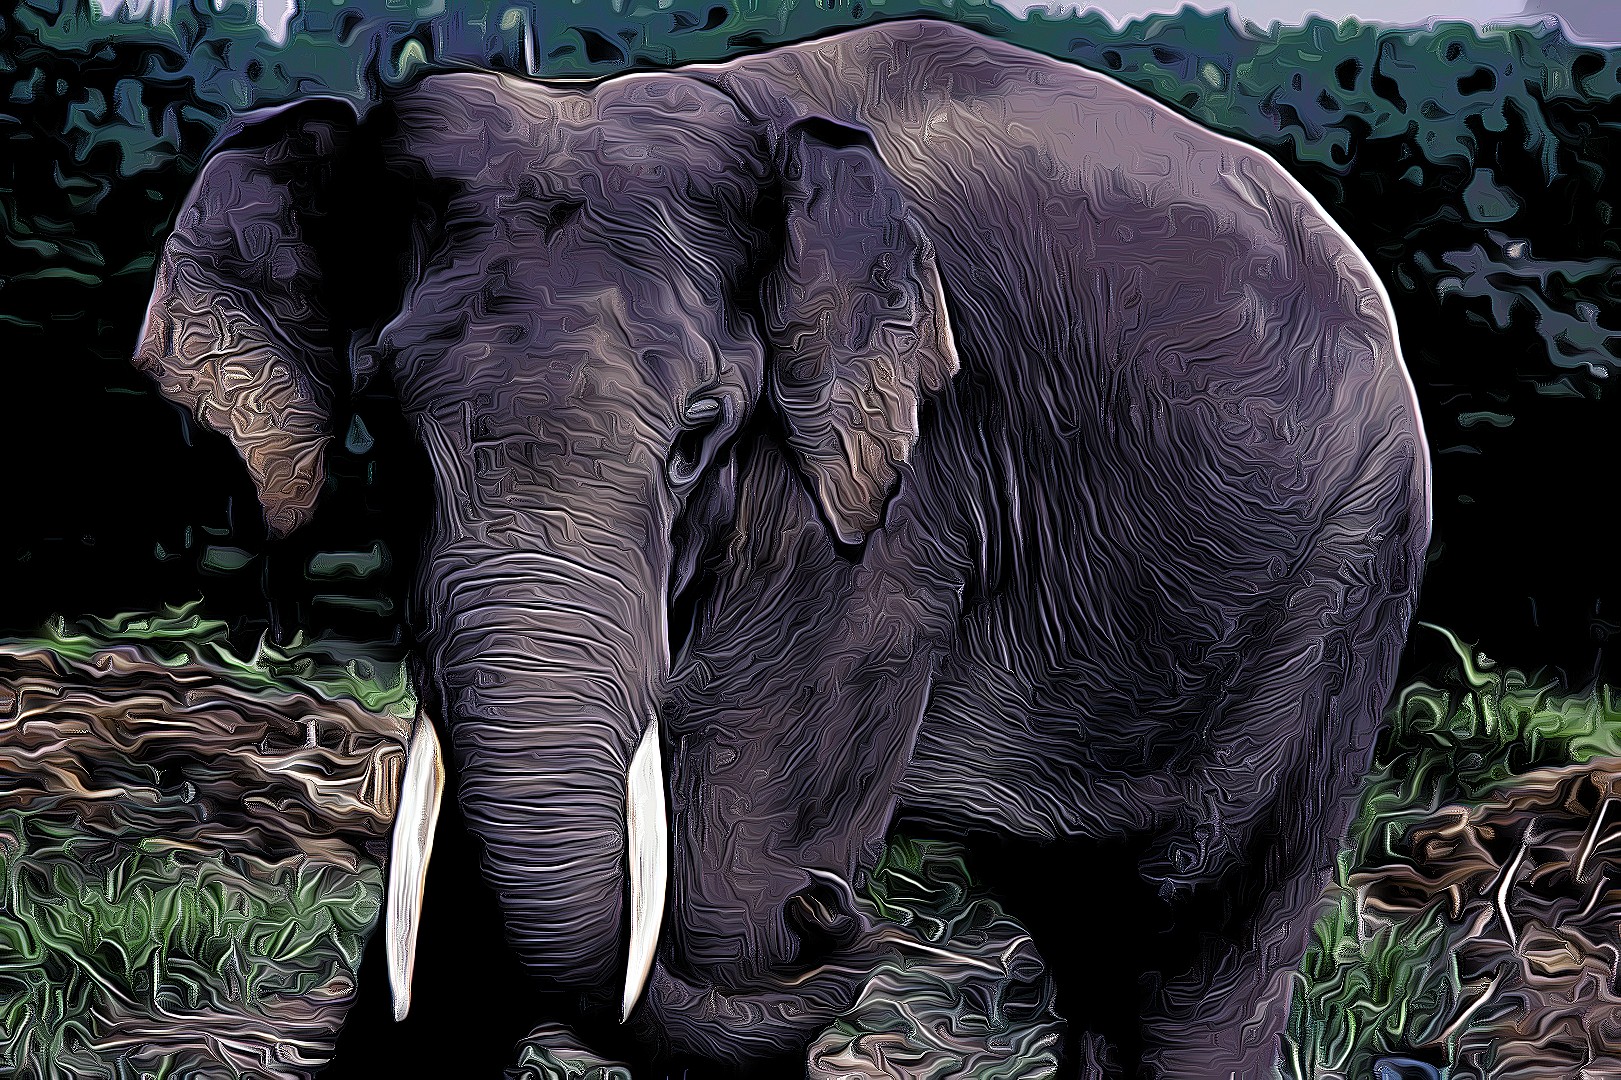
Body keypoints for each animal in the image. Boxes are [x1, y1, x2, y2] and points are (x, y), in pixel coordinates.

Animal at [130, 17, 1431, 1077]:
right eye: (389, 429)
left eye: (698, 438)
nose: (837, 911)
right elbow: (457, 937)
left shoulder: (885, 513)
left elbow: (721, 917)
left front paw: (770, 915)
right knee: (1098, 935)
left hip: (1344, 582)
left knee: (1198, 941)